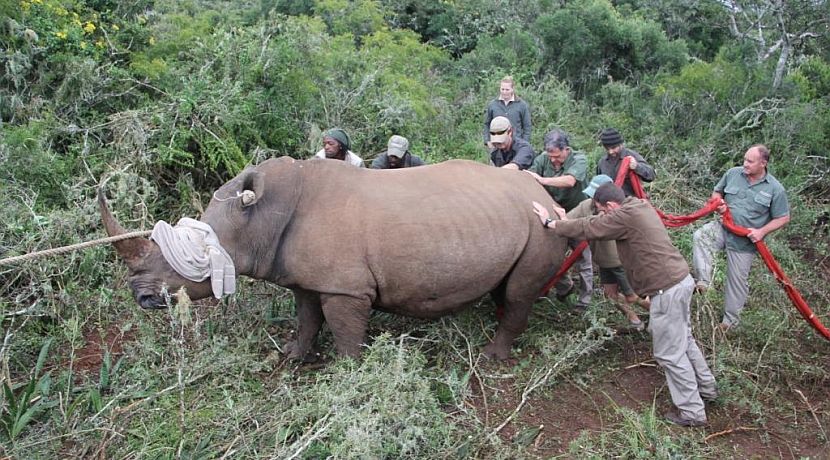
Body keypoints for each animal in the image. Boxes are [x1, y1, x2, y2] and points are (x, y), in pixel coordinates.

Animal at [100, 157, 567, 360]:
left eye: (192, 255)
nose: (141, 297)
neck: (259, 218)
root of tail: (547, 198)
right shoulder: (307, 277)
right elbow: (306, 318)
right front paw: (292, 355)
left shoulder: (345, 288)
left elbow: (344, 333)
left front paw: (350, 373)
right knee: (507, 287)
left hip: (542, 227)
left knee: (521, 292)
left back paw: (491, 356)